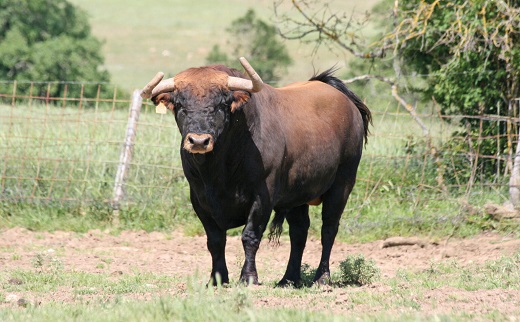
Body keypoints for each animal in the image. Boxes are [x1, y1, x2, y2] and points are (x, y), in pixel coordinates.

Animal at [140, 56, 372, 286]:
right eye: (180, 104)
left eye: (222, 104)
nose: (199, 141)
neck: (218, 170)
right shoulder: (199, 199)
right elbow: (215, 240)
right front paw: (217, 278)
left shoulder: (262, 195)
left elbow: (250, 236)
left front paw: (248, 277)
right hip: (298, 195)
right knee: (299, 231)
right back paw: (288, 278)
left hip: (342, 184)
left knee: (329, 229)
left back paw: (322, 277)